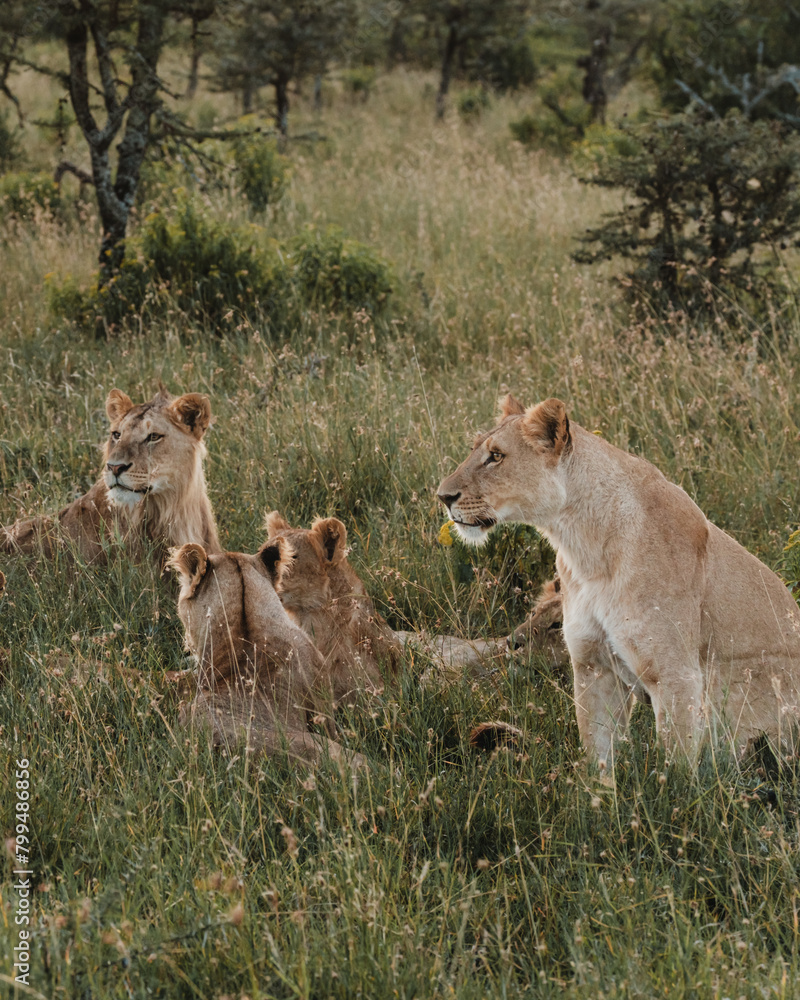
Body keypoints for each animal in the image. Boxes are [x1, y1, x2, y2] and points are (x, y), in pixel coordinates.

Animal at [438, 393, 800, 772]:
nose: (442, 497)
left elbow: (678, 770)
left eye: (496, 456)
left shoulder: (675, 673)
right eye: (475, 450)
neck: (584, 546)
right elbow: (597, 756)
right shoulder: (592, 665)